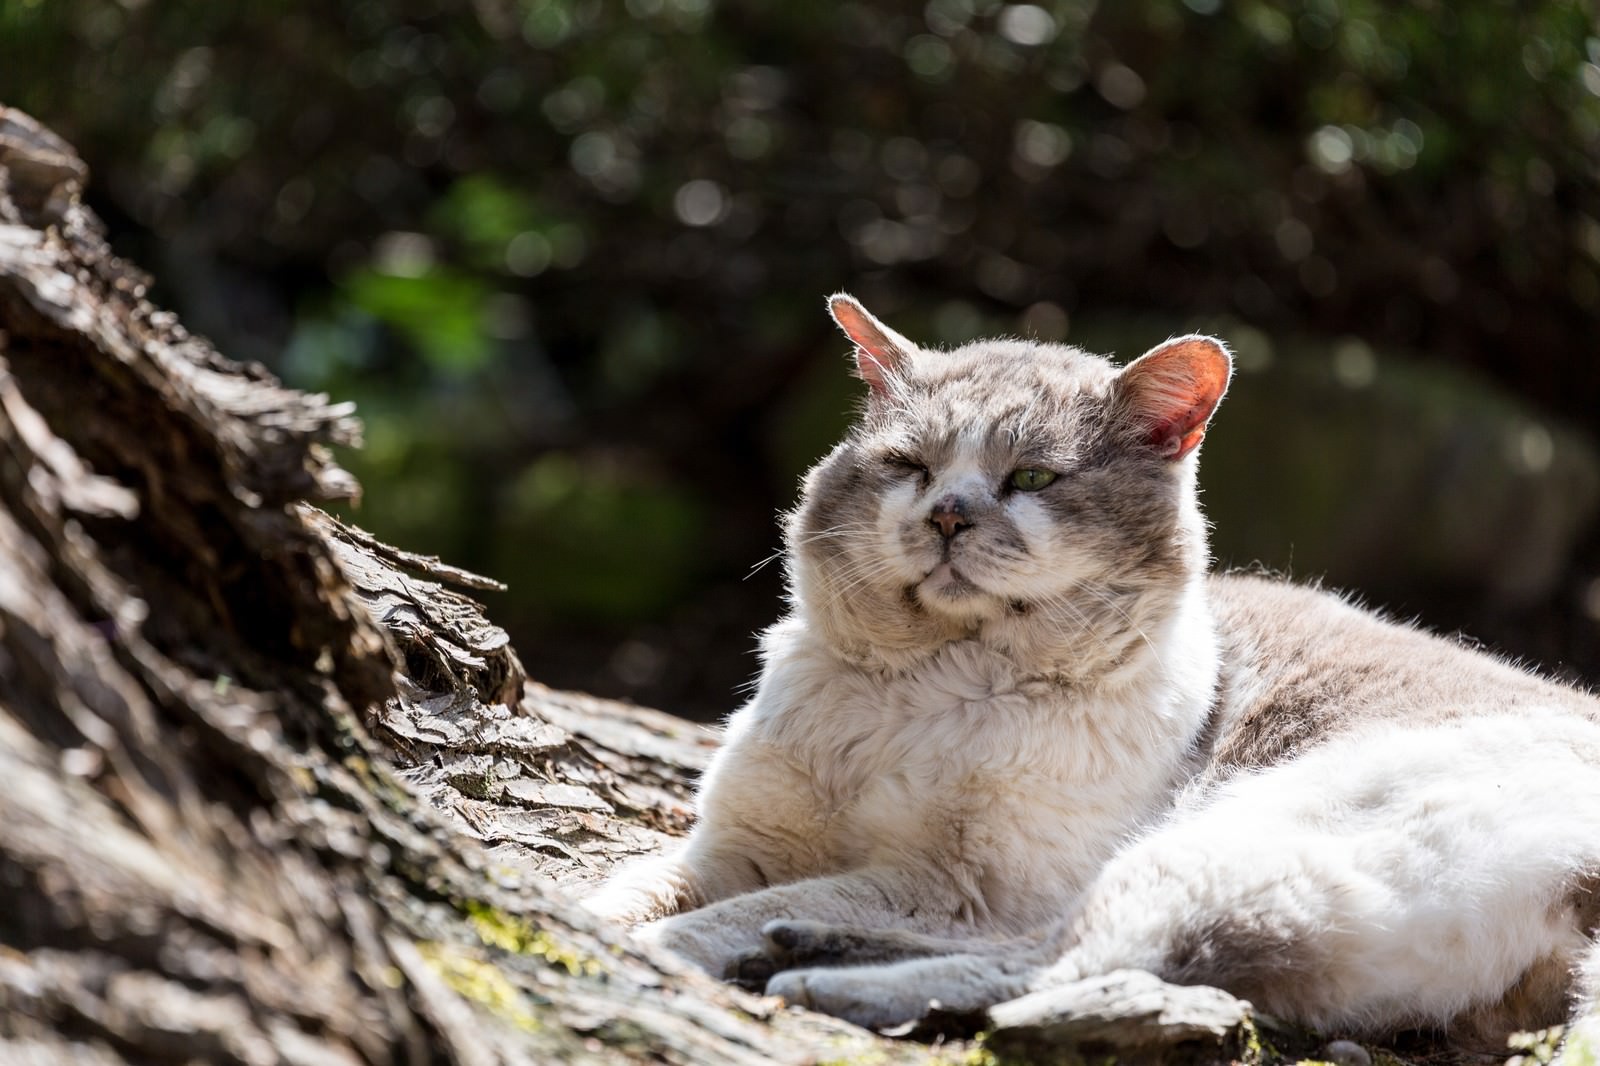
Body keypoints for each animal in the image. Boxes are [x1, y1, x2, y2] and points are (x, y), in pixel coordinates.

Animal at [585, 292, 1600, 1056]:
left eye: (1032, 479)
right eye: (909, 466)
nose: (948, 515)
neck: (924, 685)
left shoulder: (962, 885)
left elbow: (729, 912)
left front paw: (671, 947)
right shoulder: (733, 844)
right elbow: (640, 887)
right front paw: (588, 918)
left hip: (1229, 842)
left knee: (1061, 968)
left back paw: (808, 974)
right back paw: (807, 956)